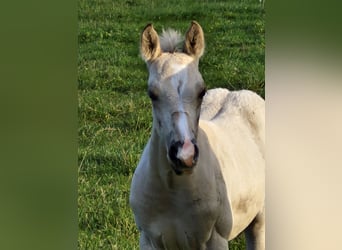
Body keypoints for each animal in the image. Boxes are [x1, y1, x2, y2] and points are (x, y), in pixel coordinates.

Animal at [130, 20, 266, 249]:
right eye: (152, 94)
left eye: (201, 91)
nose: (184, 155)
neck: (174, 190)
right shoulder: (149, 239)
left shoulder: (216, 239)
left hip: (260, 220)